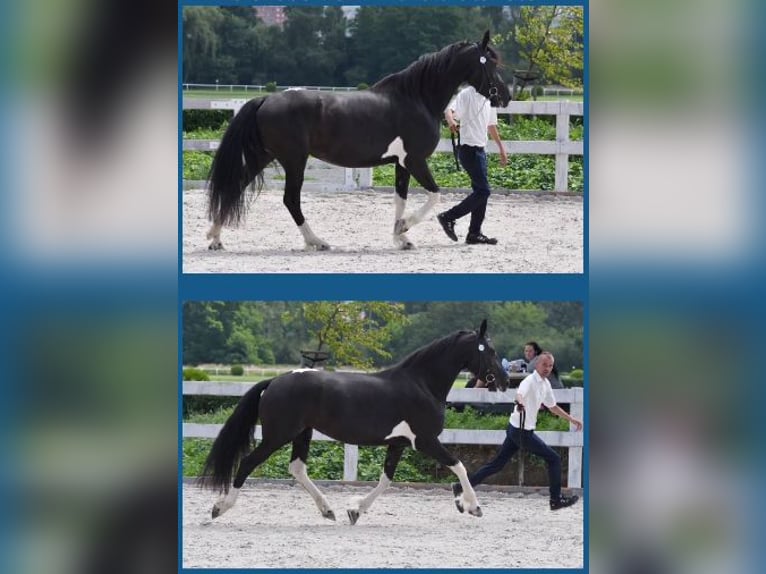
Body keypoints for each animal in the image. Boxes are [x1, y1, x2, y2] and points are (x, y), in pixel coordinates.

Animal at [198, 320, 510, 528]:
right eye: (491, 350)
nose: (505, 381)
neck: (422, 384)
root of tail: (275, 380)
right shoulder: (425, 441)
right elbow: (459, 466)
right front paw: (473, 506)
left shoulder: (398, 444)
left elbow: (386, 479)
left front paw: (355, 511)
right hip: (278, 435)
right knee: (248, 463)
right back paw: (218, 508)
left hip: (302, 433)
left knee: (297, 468)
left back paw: (328, 511)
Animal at [207, 31, 512, 252]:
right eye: (490, 63)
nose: (505, 96)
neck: (416, 98)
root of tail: (265, 99)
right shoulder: (415, 160)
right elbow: (435, 195)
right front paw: (404, 228)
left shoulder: (401, 164)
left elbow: (400, 199)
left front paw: (401, 237)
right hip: (294, 161)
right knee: (290, 200)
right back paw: (316, 242)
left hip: (263, 156)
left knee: (235, 187)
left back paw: (215, 237)